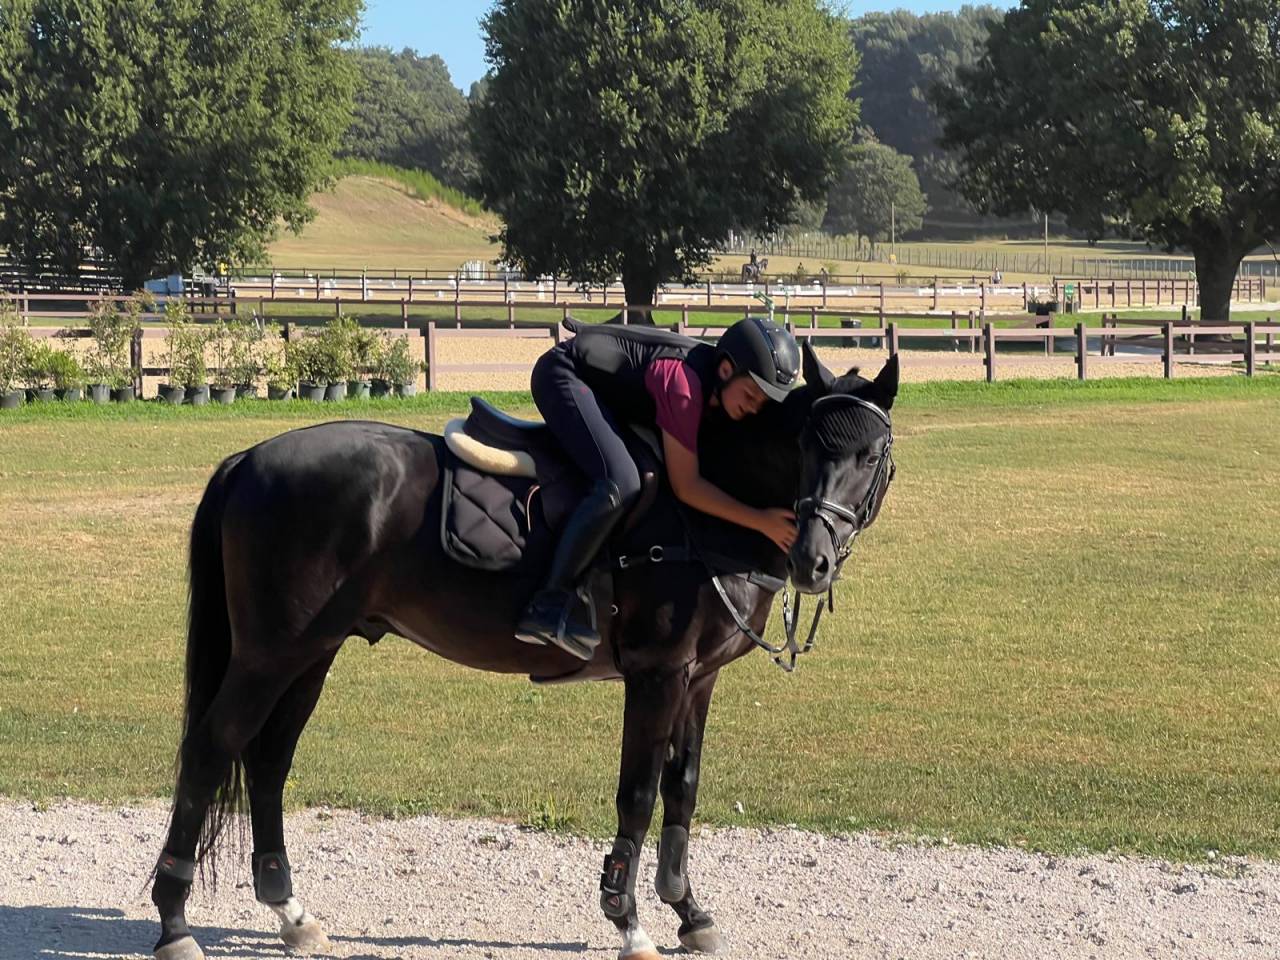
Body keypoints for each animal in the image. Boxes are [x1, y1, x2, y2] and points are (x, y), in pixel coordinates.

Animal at [147, 342, 900, 960]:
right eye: (809, 447)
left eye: (870, 457)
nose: (813, 559)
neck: (709, 507)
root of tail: (250, 459)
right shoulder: (657, 675)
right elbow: (638, 794)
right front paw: (627, 921)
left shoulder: (698, 679)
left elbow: (682, 791)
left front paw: (689, 912)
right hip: (270, 654)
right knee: (212, 748)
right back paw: (174, 922)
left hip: (312, 652)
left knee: (268, 762)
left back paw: (291, 913)